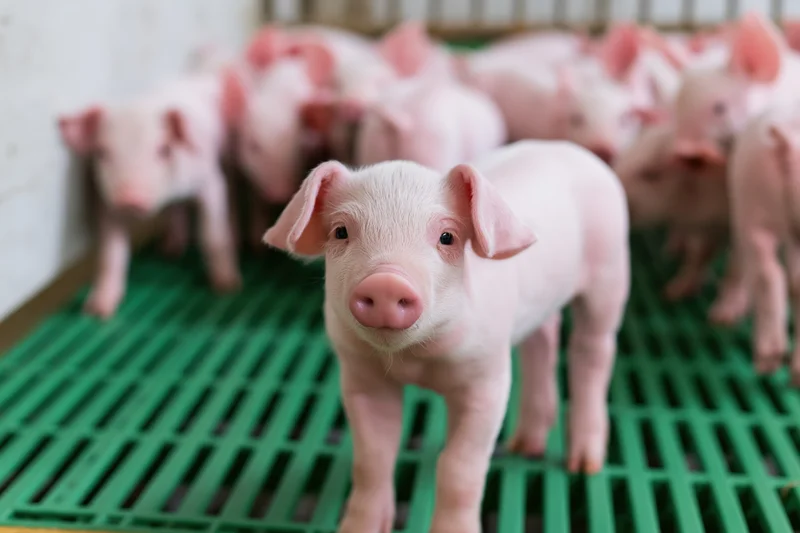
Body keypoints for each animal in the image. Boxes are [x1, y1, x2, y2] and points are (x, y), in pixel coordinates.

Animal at [58, 72, 241, 319]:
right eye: (102, 153)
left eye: (163, 150)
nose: (130, 198)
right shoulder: (108, 205)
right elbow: (111, 254)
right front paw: (97, 311)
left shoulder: (209, 181)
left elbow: (212, 236)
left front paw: (227, 287)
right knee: (176, 211)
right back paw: (170, 251)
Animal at [263, 140, 630, 533]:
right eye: (341, 232)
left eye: (447, 237)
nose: (386, 282)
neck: (417, 361)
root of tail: (576, 151)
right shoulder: (361, 376)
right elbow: (372, 459)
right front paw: (358, 528)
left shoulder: (488, 380)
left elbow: (458, 465)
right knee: (543, 340)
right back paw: (524, 446)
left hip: (610, 273)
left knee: (593, 352)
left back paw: (583, 464)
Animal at [614, 120, 749, 324]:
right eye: (626, 155)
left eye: (652, 173)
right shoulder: (706, 228)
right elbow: (698, 255)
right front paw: (672, 292)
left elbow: (736, 269)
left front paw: (720, 318)